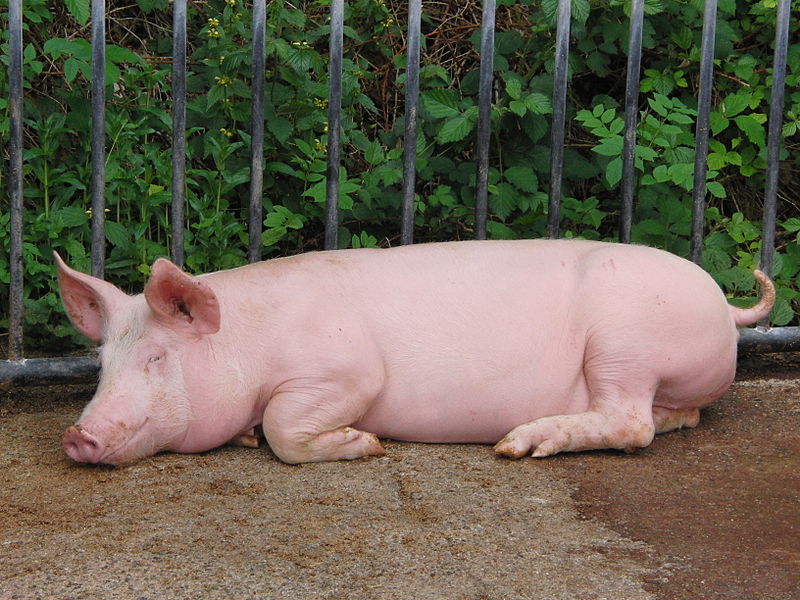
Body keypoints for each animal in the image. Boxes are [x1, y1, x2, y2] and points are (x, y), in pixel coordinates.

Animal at [57, 239, 774, 466]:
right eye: (103, 365)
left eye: (155, 359)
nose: (77, 436)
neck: (247, 341)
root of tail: (725, 305)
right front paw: (242, 437)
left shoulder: (345, 371)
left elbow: (287, 428)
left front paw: (366, 444)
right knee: (666, 418)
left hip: (624, 343)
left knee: (631, 423)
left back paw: (517, 445)